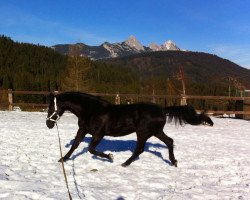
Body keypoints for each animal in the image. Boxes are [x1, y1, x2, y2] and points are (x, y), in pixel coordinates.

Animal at [45, 92, 213, 167]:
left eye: (52, 107)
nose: (48, 124)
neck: (92, 110)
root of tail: (162, 109)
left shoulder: (99, 134)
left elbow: (91, 149)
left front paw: (110, 157)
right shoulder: (83, 130)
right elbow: (75, 145)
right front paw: (63, 159)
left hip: (143, 132)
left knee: (140, 149)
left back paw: (124, 163)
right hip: (156, 132)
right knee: (169, 142)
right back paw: (174, 161)